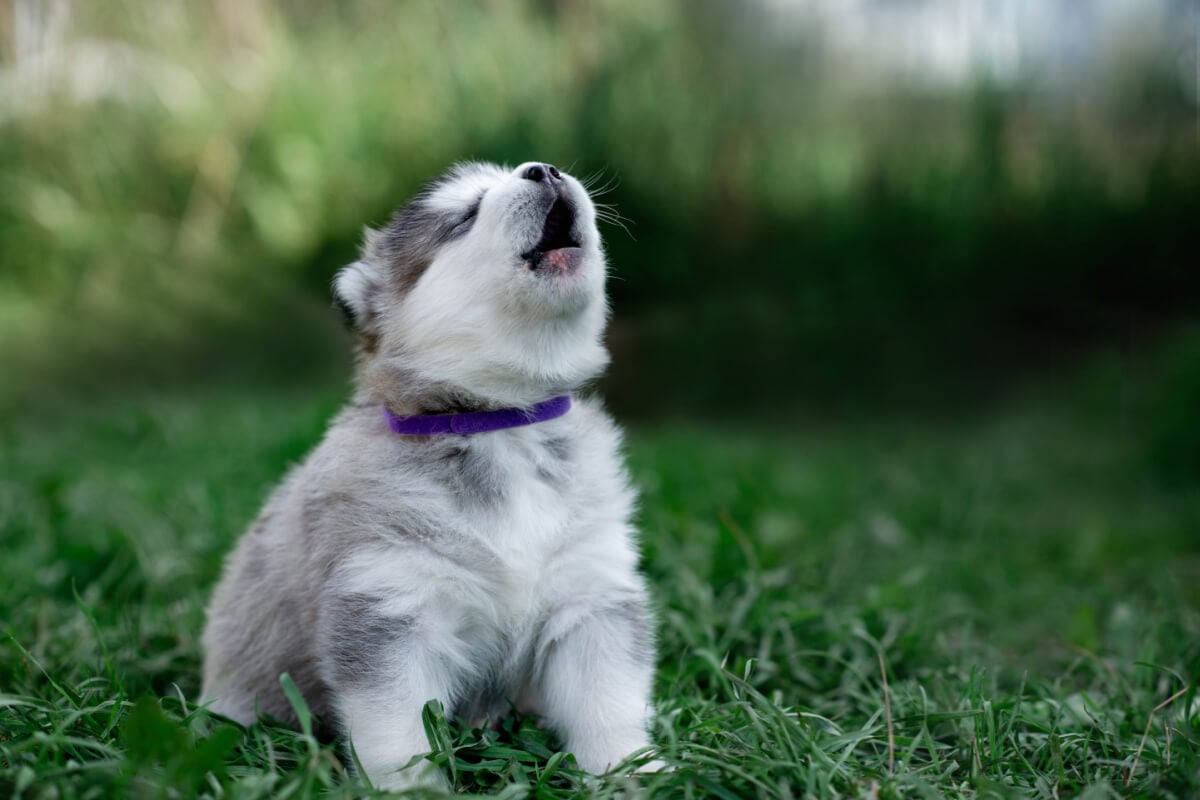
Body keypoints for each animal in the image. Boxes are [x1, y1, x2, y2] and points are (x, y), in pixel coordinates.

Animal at [202, 160, 662, 786]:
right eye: (465, 215)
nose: (544, 169)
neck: (501, 422)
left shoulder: (589, 594)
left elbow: (607, 701)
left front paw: (631, 772)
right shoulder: (389, 603)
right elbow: (399, 733)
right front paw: (410, 789)